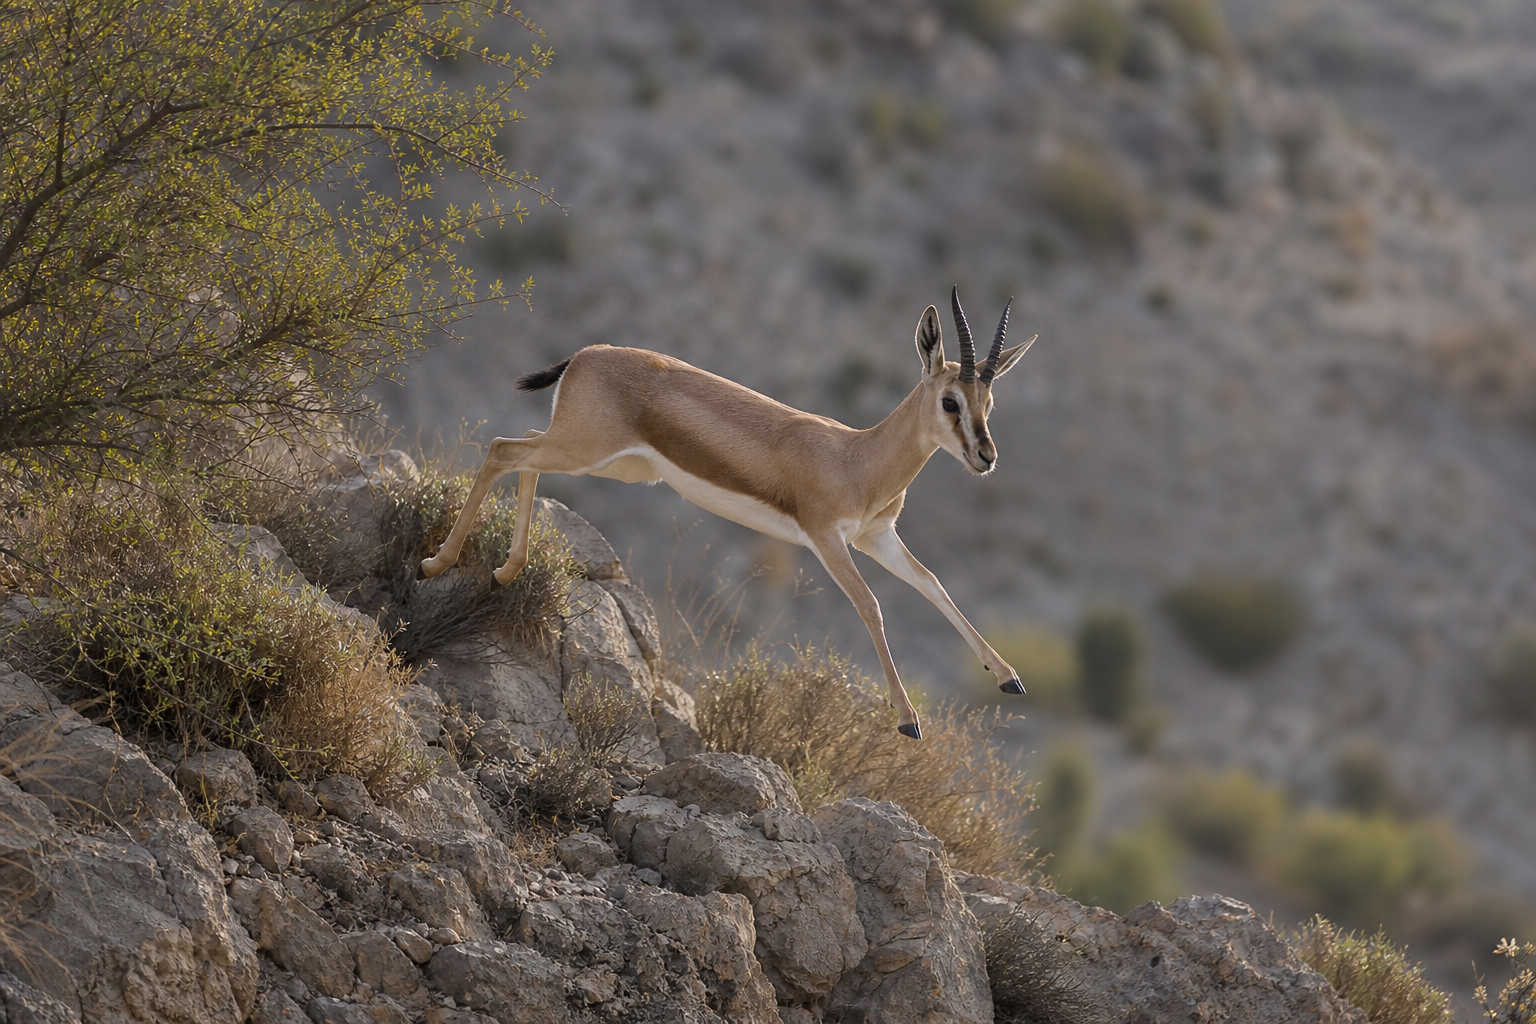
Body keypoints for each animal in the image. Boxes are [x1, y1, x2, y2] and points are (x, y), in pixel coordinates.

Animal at [421, 288, 1036, 739]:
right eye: (950, 401)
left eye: (988, 402)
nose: (986, 456)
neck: (856, 458)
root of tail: (587, 354)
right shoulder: (827, 539)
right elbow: (871, 605)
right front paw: (907, 720)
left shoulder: (875, 537)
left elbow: (933, 584)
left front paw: (1008, 677)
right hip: (583, 451)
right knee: (502, 449)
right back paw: (437, 563)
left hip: (609, 463)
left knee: (522, 446)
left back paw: (506, 569)